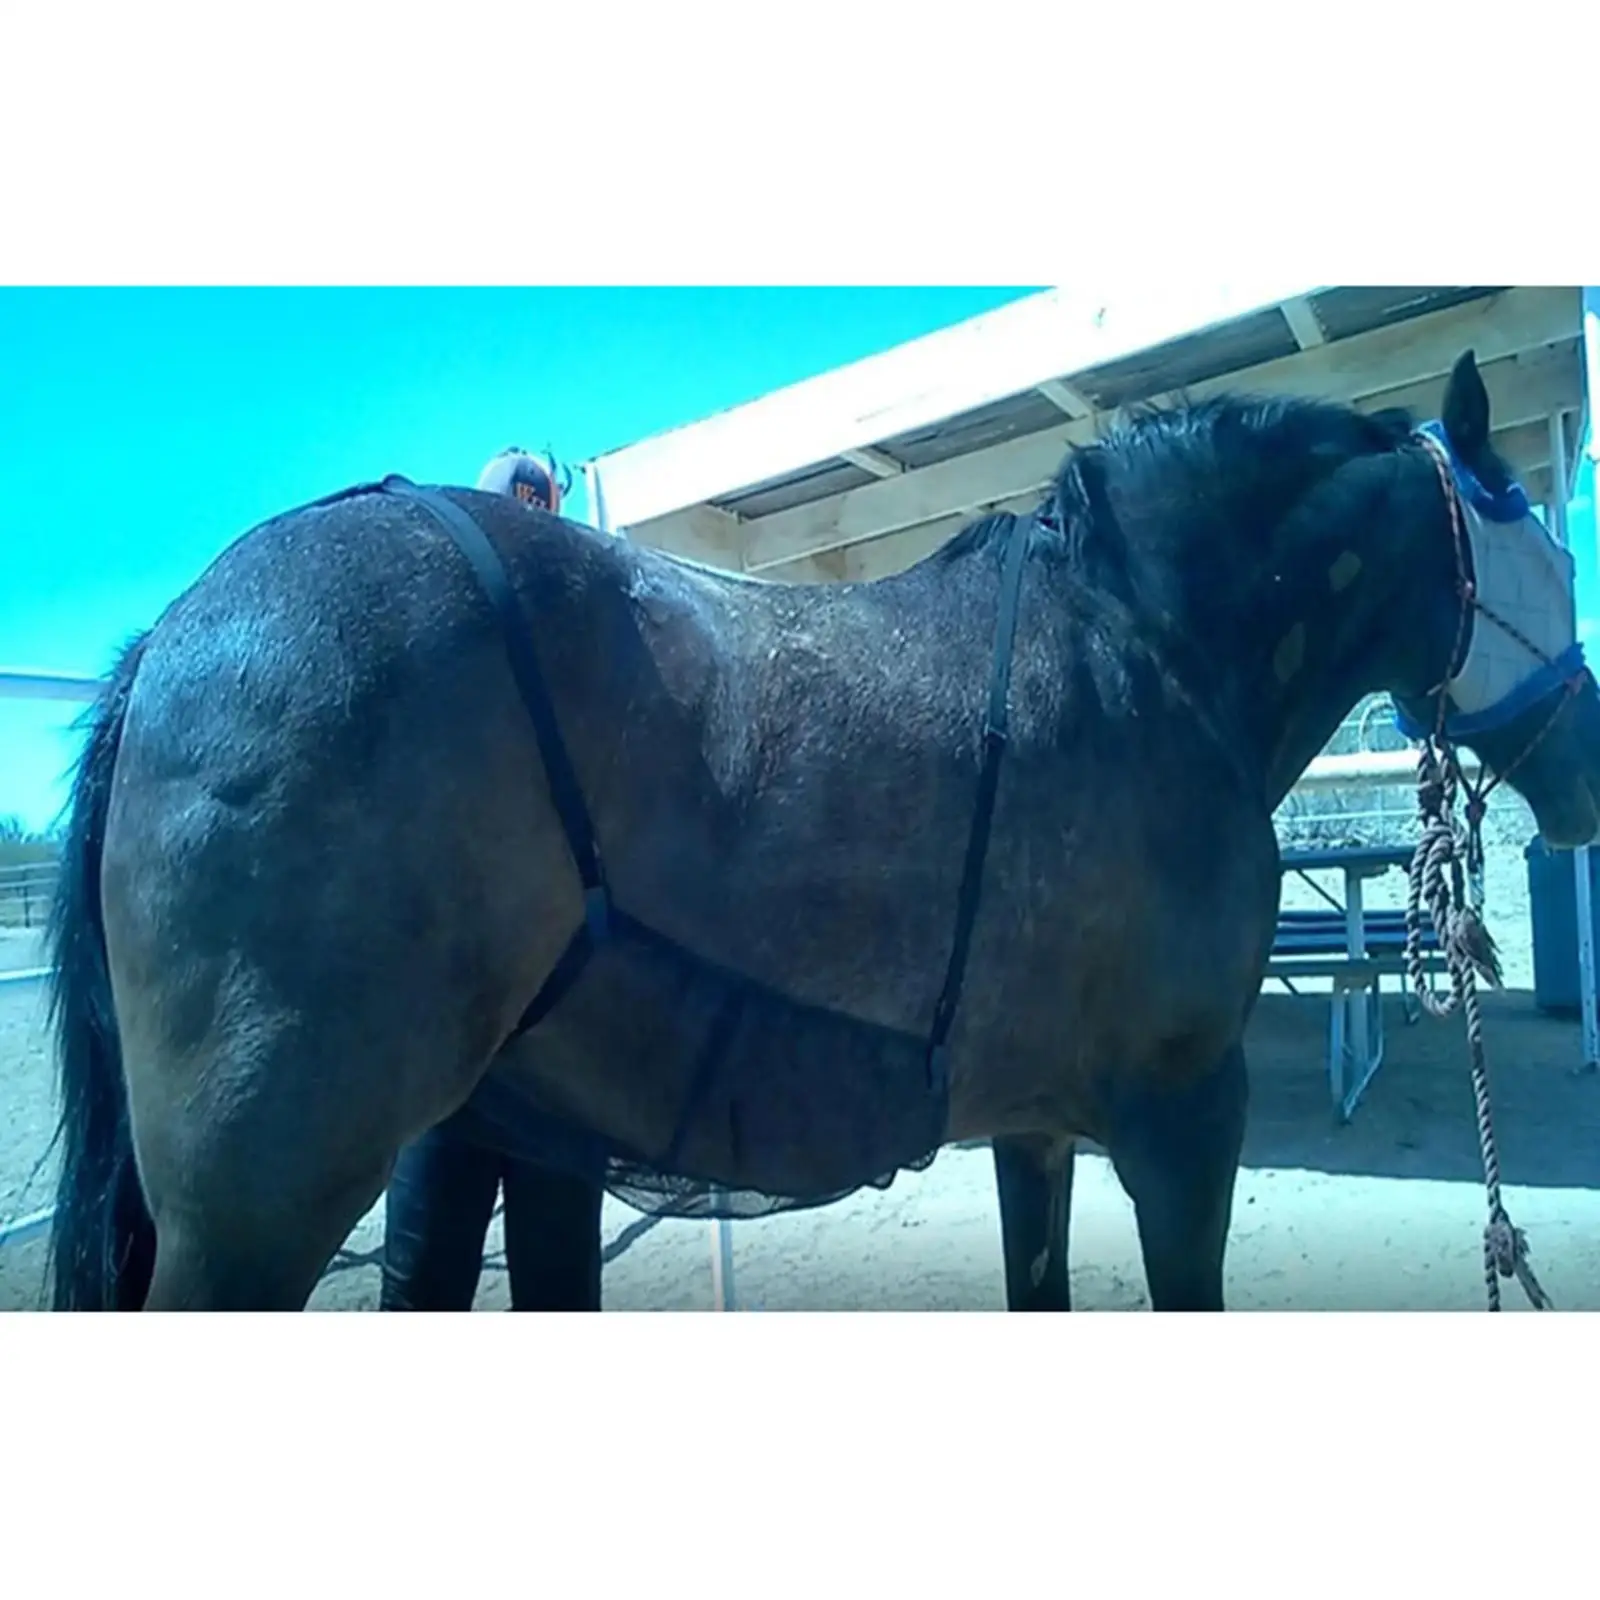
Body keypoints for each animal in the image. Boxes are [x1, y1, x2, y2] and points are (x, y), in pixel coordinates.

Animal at [45, 348, 1600, 1311]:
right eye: (1545, 542)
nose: (1586, 766)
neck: (1140, 657)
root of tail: (173, 632)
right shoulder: (1180, 1118)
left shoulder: (1035, 1128)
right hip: (261, 1200)